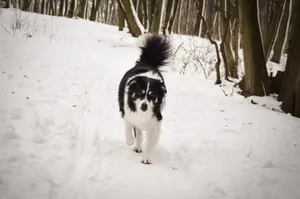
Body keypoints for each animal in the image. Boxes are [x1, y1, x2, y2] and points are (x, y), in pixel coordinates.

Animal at [118, 34, 172, 165]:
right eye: (139, 93)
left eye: (152, 96)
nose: (144, 106)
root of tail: (147, 62)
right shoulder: (128, 112)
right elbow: (129, 127)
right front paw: (130, 141)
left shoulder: (156, 119)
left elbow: (151, 141)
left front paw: (147, 158)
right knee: (137, 131)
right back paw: (136, 145)